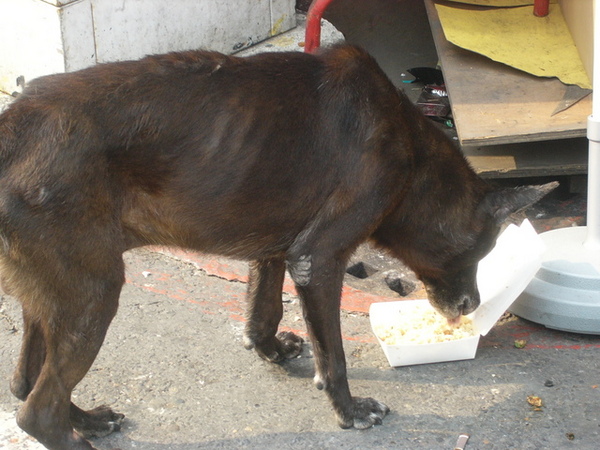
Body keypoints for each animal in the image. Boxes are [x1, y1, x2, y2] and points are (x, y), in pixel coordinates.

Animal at [0, 43, 556, 450]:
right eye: (482, 249)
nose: (472, 306)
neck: (412, 156)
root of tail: (13, 129)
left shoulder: (272, 247)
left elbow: (262, 311)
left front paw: (270, 349)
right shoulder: (317, 259)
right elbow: (333, 356)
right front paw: (349, 411)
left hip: (53, 294)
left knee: (25, 383)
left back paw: (87, 419)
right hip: (93, 293)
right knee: (36, 411)